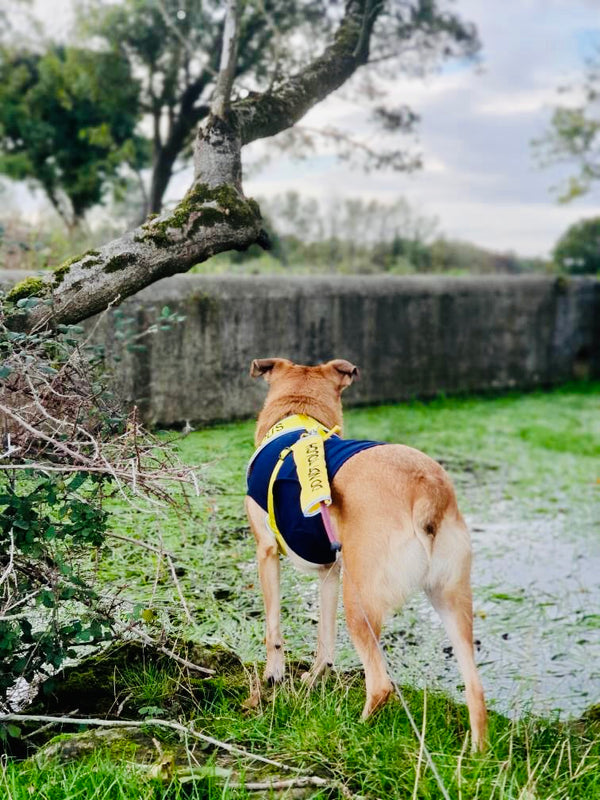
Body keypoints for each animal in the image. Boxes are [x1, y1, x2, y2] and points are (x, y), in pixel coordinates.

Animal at [245, 358, 488, 752]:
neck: (298, 414)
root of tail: (427, 488)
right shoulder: (330, 570)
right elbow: (325, 640)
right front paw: (316, 679)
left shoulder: (266, 553)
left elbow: (274, 628)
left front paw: (274, 675)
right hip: (450, 600)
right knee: (475, 690)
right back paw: (477, 756)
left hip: (359, 602)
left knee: (381, 685)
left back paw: (353, 733)